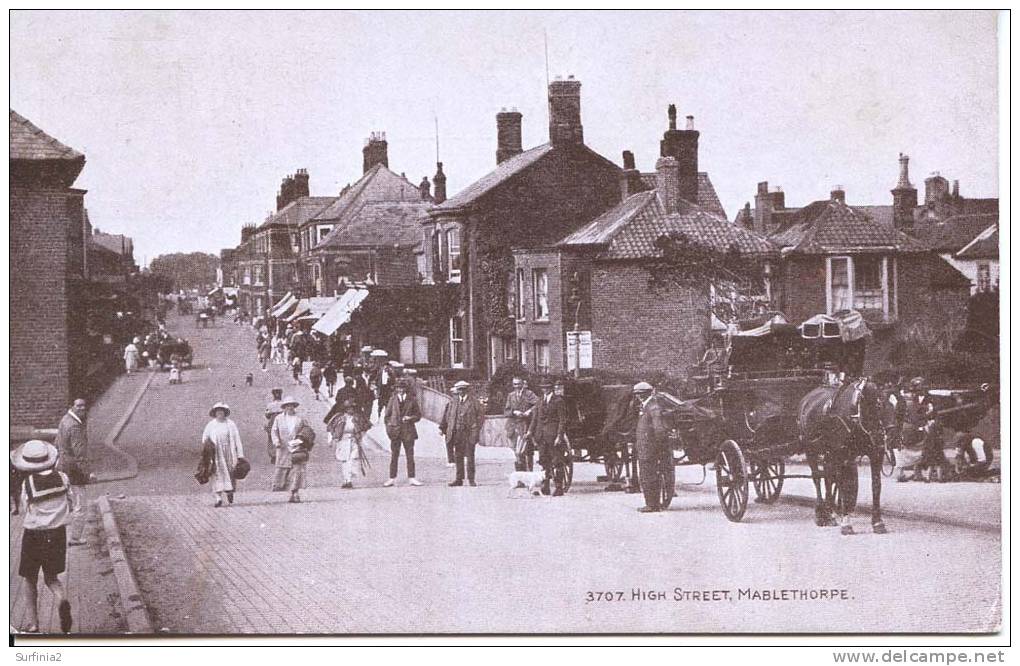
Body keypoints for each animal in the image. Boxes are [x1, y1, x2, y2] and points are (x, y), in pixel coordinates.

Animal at [795, 373, 893, 534]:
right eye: (879, 405)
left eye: (901, 405)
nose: (890, 437)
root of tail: (807, 398)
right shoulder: (845, 454)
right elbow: (846, 484)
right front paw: (846, 522)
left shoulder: (875, 454)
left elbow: (875, 486)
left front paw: (877, 522)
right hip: (811, 449)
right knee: (817, 477)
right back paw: (821, 514)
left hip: (829, 453)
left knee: (828, 476)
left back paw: (830, 513)